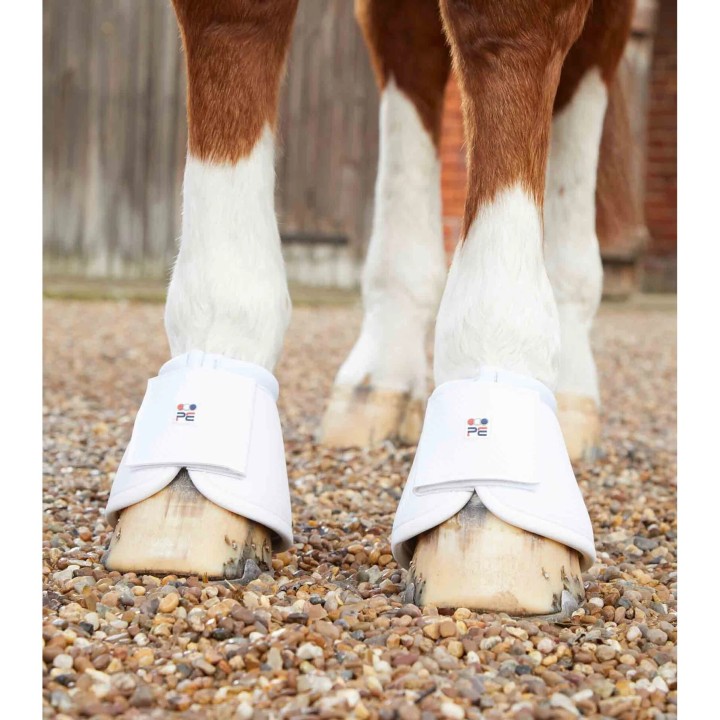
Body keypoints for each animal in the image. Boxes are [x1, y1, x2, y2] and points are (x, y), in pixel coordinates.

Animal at [103, 0, 635, 616]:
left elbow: (506, 32)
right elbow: (233, 24)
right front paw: (184, 490)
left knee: (586, 71)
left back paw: (569, 393)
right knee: (410, 47)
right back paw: (380, 380)